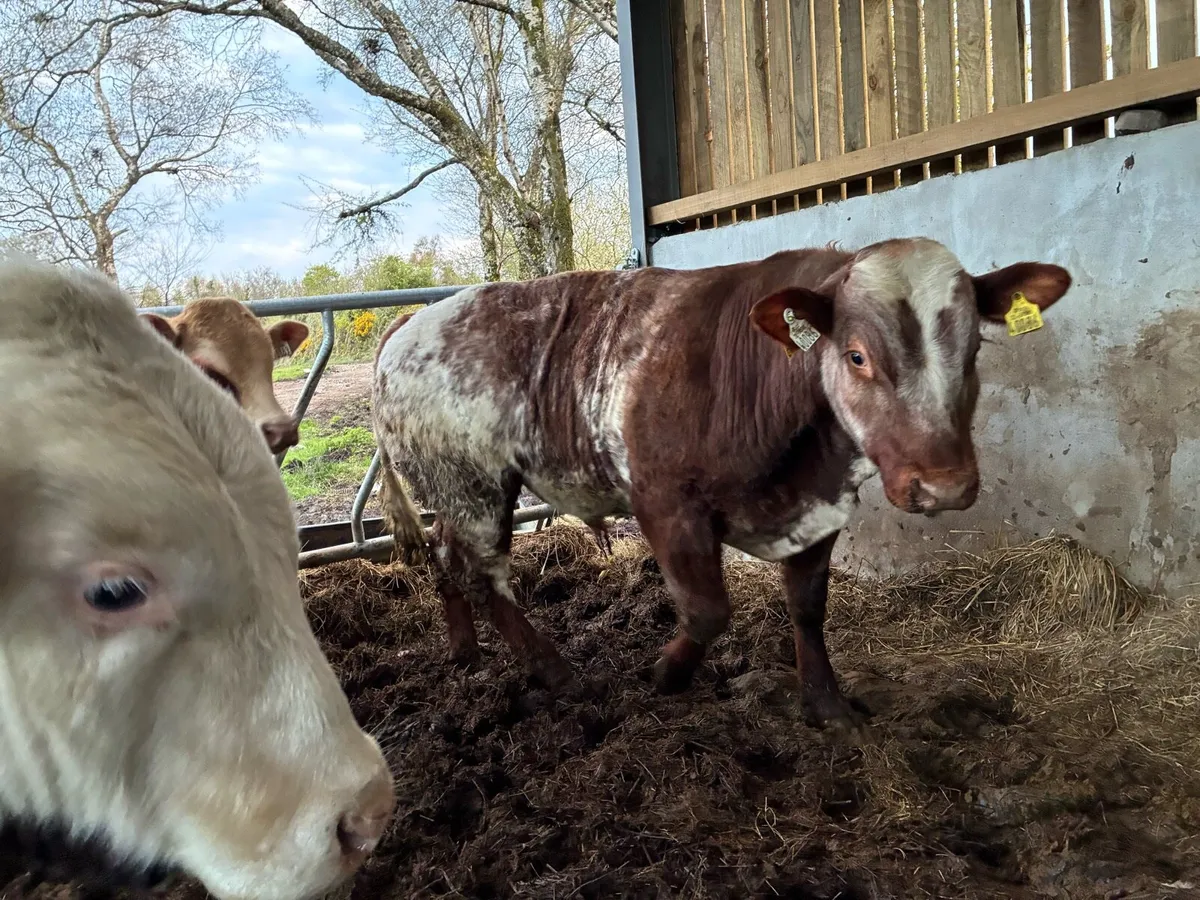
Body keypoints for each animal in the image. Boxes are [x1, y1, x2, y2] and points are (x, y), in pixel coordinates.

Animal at [371, 237, 1071, 730]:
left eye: (973, 354)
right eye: (857, 356)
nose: (944, 485)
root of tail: (411, 322)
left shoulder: (818, 512)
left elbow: (807, 608)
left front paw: (827, 705)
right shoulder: (664, 502)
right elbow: (708, 610)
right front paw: (666, 675)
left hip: (453, 490)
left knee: (447, 561)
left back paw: (464, 651)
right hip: (473, 484)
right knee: (486, 577)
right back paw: (555, 671)